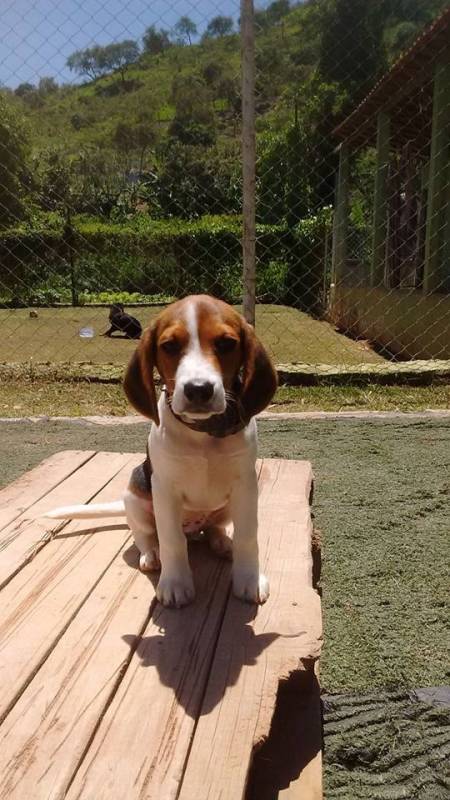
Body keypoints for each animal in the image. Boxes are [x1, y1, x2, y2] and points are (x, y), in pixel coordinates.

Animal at [46, 294, 278, 608]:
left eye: (226, 343)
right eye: (169, 346)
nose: (198, 389)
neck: (203, 433)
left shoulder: (246, 485)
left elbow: (247, 535)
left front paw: (249, 579)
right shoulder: (164, 489)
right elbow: (171, 540)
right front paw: (175, 583)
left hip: (227, 506)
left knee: (213, 528)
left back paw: (221, 542)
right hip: (134, 495)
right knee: (146, 535)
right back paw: (152, 555)